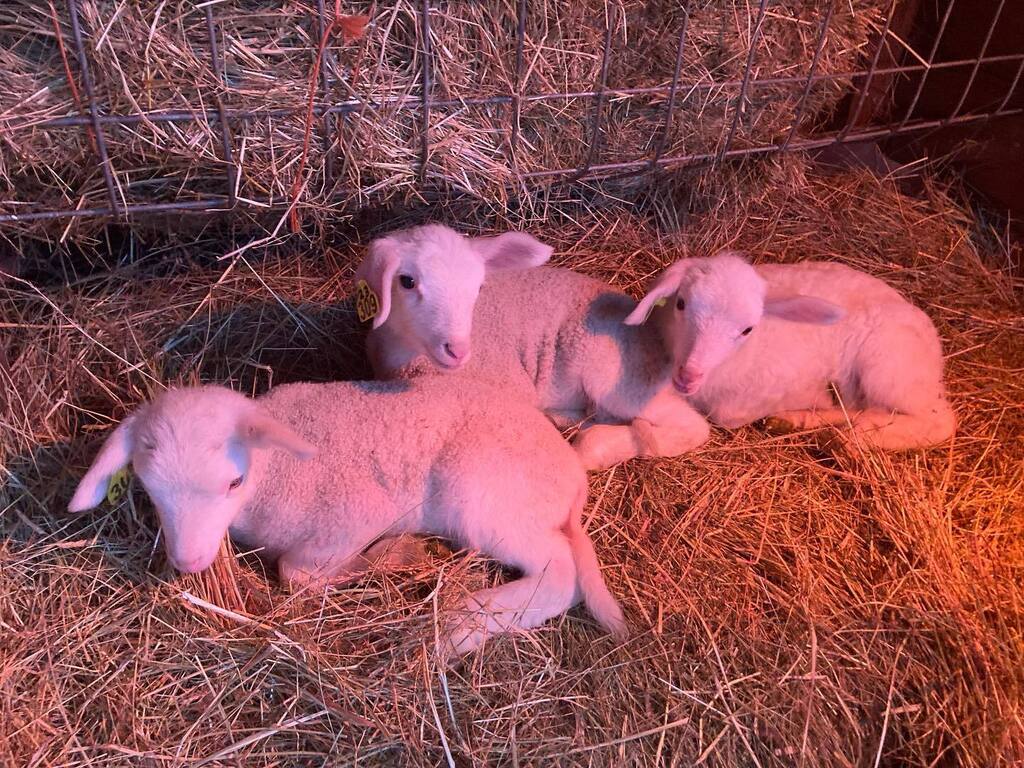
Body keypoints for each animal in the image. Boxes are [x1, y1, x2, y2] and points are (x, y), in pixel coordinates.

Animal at [67, 378, 628, 657]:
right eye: (150, 490)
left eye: (233, 483)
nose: (189, 562)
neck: (275, 471)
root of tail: (571, 477)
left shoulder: (359, 510)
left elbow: (295, 571)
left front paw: (385, 558)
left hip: (485, 498)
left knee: (559, 574)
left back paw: (463, 626)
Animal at [623, 252, 957, 450]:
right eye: (681, 304)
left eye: (747, 330)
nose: (689, 375)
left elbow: (728, 415)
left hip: (889, 367)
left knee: (939, 421)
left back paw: (861, 433)